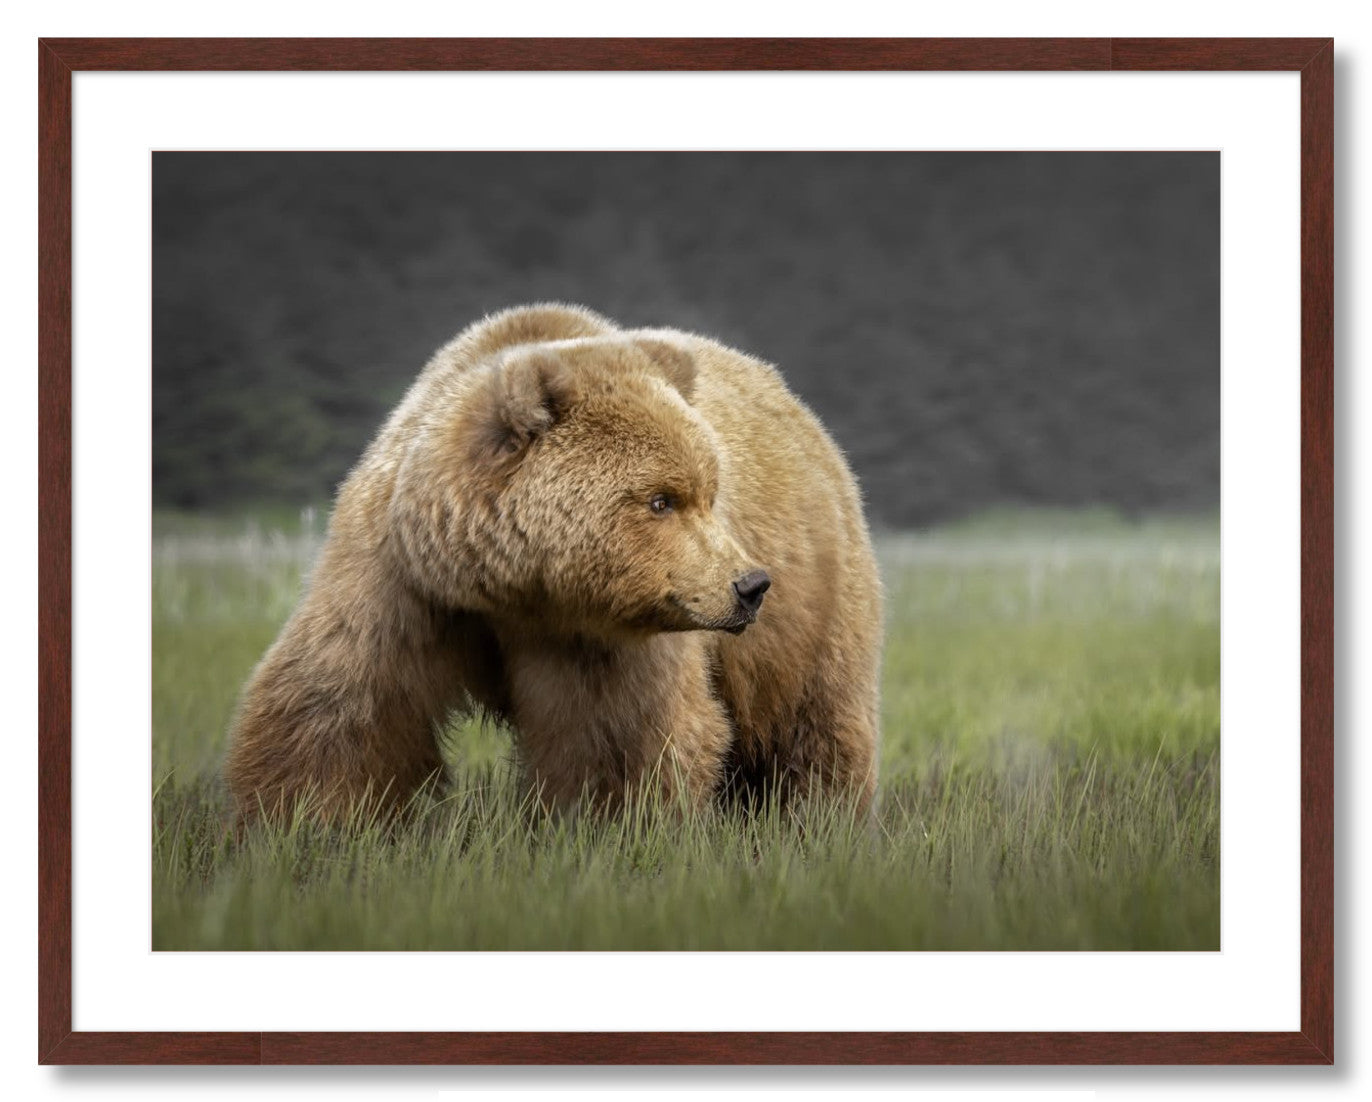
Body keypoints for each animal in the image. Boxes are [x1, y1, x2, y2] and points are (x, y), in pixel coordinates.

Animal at [224, 304, 882, 823]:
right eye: (661, 500)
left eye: (709, 494)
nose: (749, 584)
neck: (508, 587)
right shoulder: (402, 579)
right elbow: (340, 706)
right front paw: (300, 826)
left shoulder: (599, 636)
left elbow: (618, 738)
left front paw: (608, 829)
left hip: (817, 602)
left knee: (815, 723)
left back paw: (819, 820)